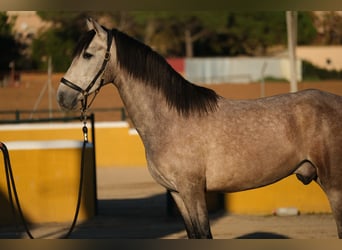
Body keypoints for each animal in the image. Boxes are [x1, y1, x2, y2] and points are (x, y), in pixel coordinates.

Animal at [57, 18, 342, 238]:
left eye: (88, 55)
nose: (62, 96)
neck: (171, 120)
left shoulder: (192, 190)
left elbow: (204, 234)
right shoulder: (177, 193)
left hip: (334, 185)